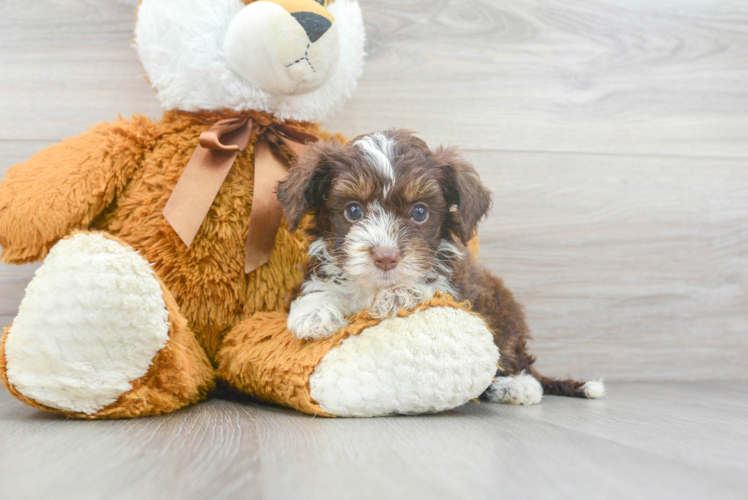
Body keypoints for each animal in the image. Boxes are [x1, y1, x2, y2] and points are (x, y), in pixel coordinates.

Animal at [278, 131, 604, 404]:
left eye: (420, 212)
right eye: (353, 211)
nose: (385, 256)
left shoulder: (454, 288)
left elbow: (428, 289)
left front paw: (398, 295)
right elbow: (317, 288)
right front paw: (314, 314)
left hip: (505, 315)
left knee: (513, 360)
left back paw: (517, 386)